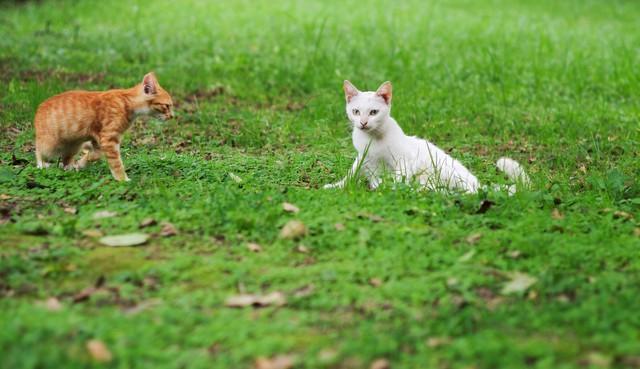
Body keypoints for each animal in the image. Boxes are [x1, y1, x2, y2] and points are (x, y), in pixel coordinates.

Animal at [34, 71, 175, 180]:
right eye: (167, 106)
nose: (172, 116)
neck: (126, 103)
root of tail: (39, 108)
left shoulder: (99, 140)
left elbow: (96, 155)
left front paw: (81, 163)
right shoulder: (108, 138)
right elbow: (116, 163)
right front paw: (122, 179)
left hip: (73, 145)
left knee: (65, 158)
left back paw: (69, 167)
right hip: (50, 144)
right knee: (38, 148)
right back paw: (41, 164)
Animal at [324, 78, 528, 191]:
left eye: (373, 112)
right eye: (356, 111)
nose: (363, 123)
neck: (371, 139)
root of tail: (479, 185)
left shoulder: (404, 161)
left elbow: (398, 177)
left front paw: (389, 188)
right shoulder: (363, 158)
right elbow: (352, 173)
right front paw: (337, 185)